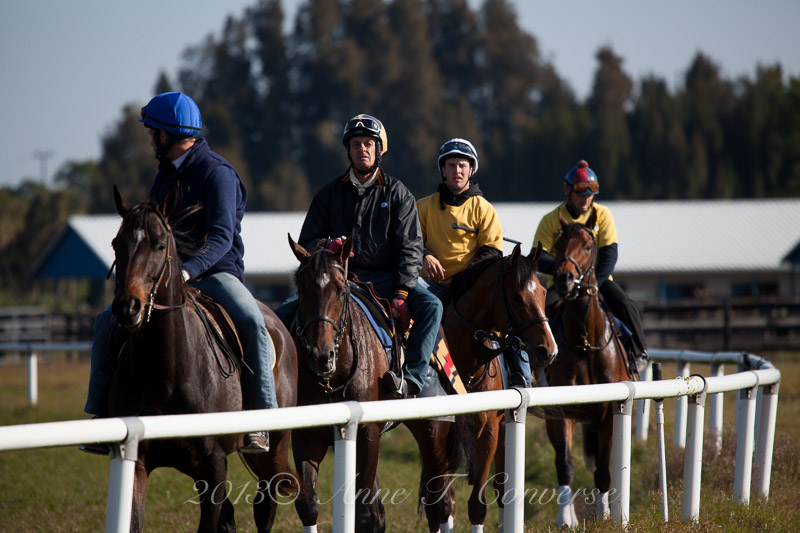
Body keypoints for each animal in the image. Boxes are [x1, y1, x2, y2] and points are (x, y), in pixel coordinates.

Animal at [108, 186, 298, 528]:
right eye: (117, 243)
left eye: (159, 245)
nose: (128, 307)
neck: (168, 372)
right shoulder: (139, 461)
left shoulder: (214, 465)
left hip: (272, 452)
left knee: (265, 507)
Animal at [288, 236, 466, 532]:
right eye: (301, 290)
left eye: (341, 291)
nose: (321, 356)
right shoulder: (305, 435)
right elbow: (308, 505)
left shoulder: (367, 434)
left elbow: (364, 513)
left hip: (434, 433)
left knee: (439, 503)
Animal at [440, 243, 560, 528]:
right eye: (516, 297)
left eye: (543, 292)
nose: (548, 350)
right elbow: (445, 502)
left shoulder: (489, 431)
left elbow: (477, 504)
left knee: (502, 491)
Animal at [544, 209, 632, 528]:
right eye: (558, 246)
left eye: (587, 246)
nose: (564, 278)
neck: (585, 343)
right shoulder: (561, 414)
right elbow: (565, 464)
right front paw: (565, 520)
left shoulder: (607, 415)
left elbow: (604, 470)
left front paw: (603, 515)